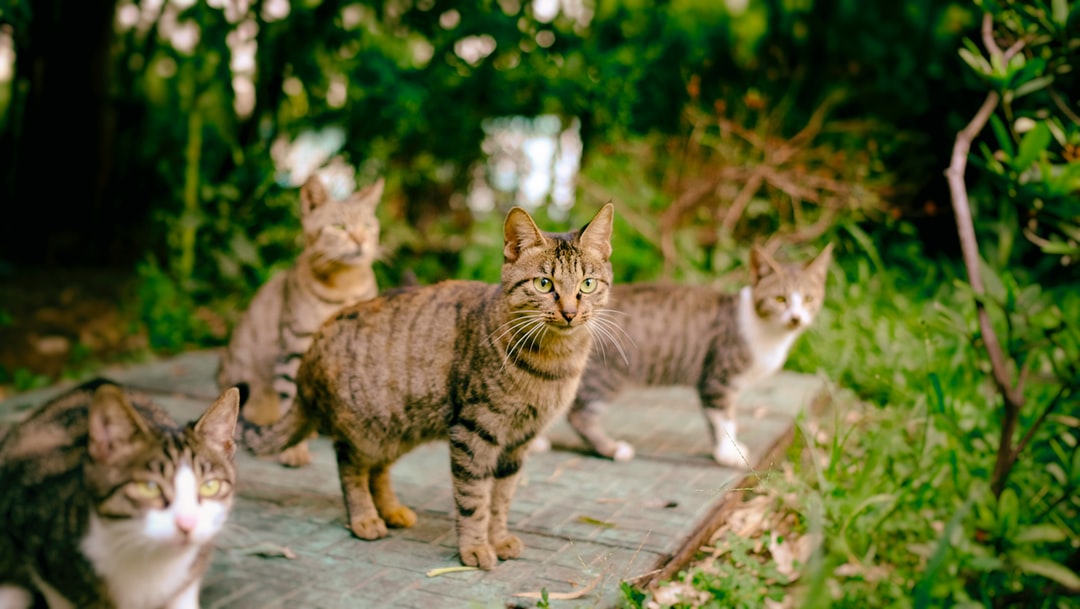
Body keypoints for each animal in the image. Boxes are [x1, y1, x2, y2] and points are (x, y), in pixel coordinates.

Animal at [214, 173, 384, 468]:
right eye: (338, 226)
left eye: (367, 226)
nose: (360, 240)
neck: (345, 288)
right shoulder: (294, 349)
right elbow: (290, 401)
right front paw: (294, 450)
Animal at [245, 204, 617, 570]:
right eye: (543, 283)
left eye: (587, 284)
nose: (570, 312)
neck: (554, 363)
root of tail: (310, 354)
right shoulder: (474, 433)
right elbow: (474, 500)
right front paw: (475, 547)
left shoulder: (518, 443)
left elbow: (501, 499)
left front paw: (498, 538)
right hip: (364, 430)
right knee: (350, 467)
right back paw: (365, 517)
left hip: (396, 429)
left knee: (377, 470)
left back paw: (391, 510)